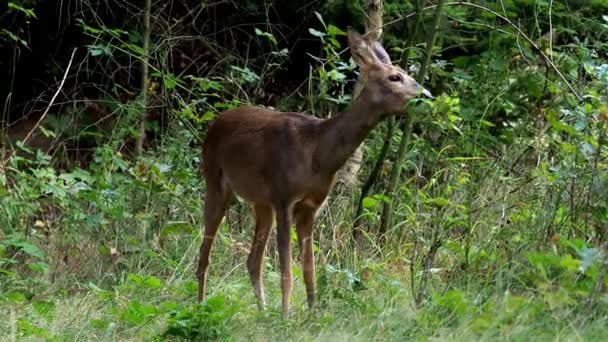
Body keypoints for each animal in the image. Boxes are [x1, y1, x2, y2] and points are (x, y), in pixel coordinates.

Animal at [197, 28, 430, 316]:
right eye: (394, 77)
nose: (426, 95)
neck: (319, 153)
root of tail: (215, 123)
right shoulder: (284, 198)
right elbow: (287, 272)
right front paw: (286, 317)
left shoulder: (311, 207)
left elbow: (310, 270)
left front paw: (312, 314)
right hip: (215, 179)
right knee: (205, 254)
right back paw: (200, 305)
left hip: (261, 202)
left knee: (253, 260)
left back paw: (262, 311)